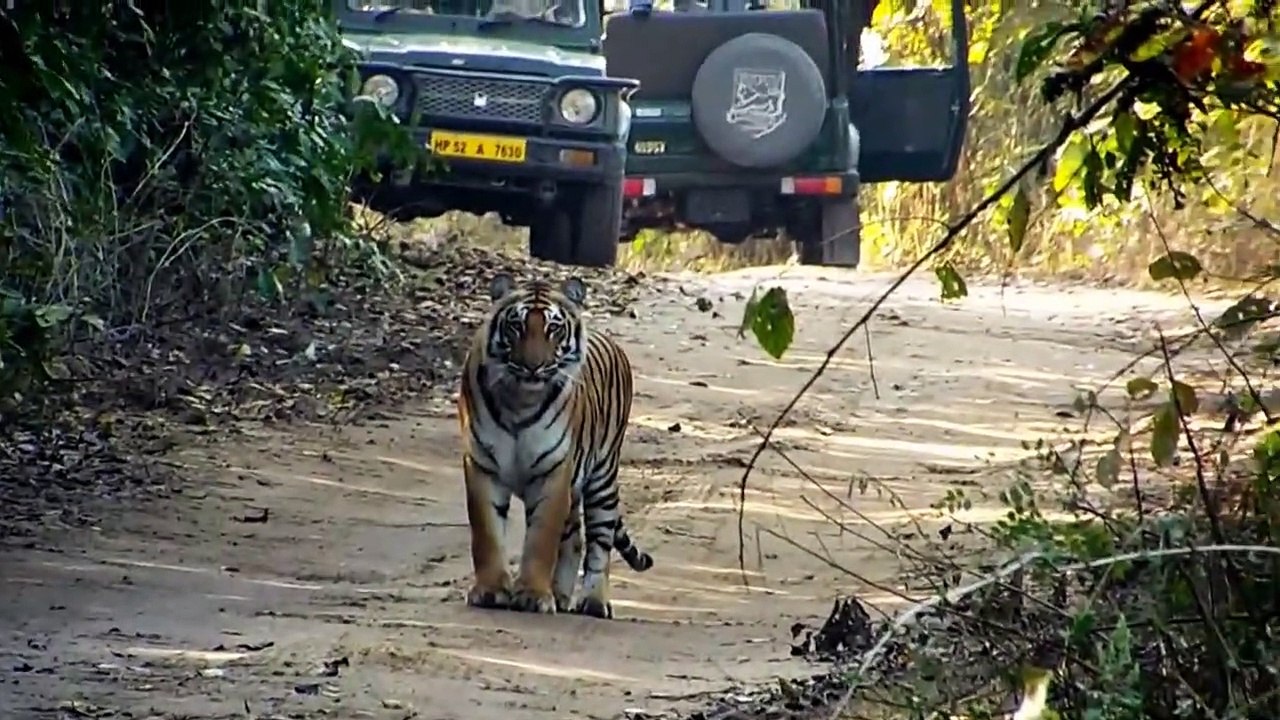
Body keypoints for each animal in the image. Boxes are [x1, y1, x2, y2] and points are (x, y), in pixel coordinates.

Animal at [456, 272, 654, 620]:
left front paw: (534, 596)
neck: (520, 400)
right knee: (574, 538)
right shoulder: (482, 465)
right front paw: (491, 591)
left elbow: (541, 540)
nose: (533, 366)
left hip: (603, 480)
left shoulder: (554, 471)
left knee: (599, 542)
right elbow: (487, 533)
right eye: (516, 326)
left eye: (553, 328)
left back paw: (594, 601)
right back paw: (561, 595)